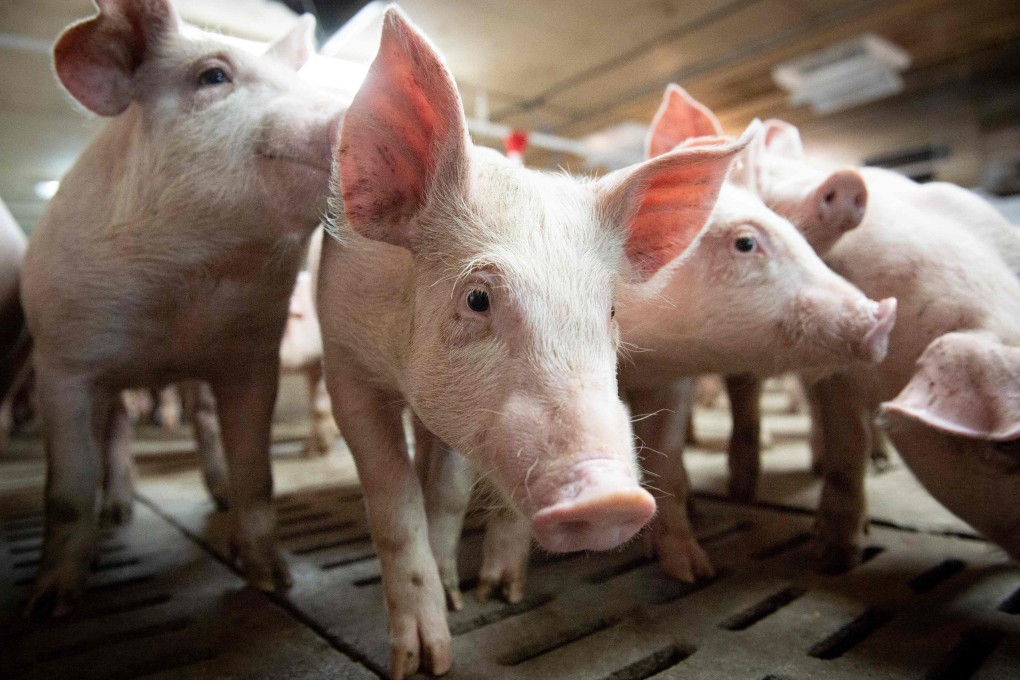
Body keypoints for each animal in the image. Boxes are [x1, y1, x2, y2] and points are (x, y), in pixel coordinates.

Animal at [21, 0, 343, 615]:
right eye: (212, 76)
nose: (357, 108)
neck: (179, 301)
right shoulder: (61, 361)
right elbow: (67, 486)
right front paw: (50, 605)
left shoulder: (251, 356)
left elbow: (256, 472)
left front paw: (273, 581)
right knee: (117, 429)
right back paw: (117, 513)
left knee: (202, 423)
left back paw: (215, 500)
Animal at [316, 9, 753, 678]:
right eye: (477, 298)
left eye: (610, 309)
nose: (610, 495)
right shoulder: (342, 358)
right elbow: (393, 500)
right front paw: (425, 660)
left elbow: (448, 492)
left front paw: (477, 597)